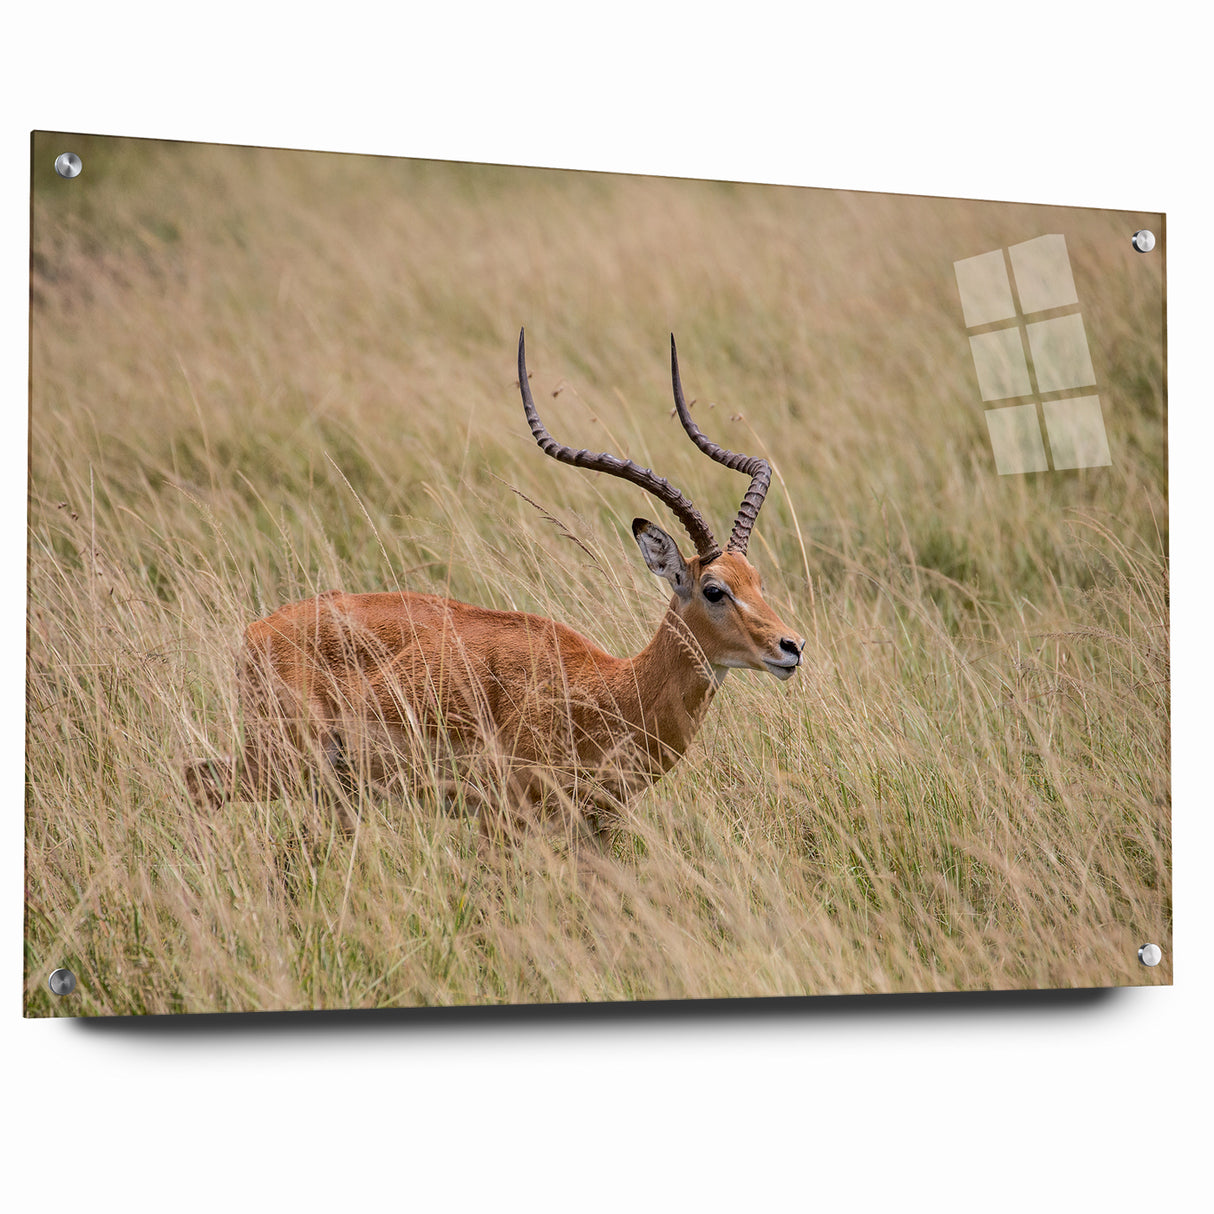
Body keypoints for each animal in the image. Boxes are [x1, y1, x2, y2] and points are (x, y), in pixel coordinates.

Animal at [186, 331, 805, 838]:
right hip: (282, 762)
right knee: (198, 783)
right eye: (714, 590)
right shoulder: (507, 819)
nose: (791, 647)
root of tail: (256, 630)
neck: (608, 691)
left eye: (757, 579)